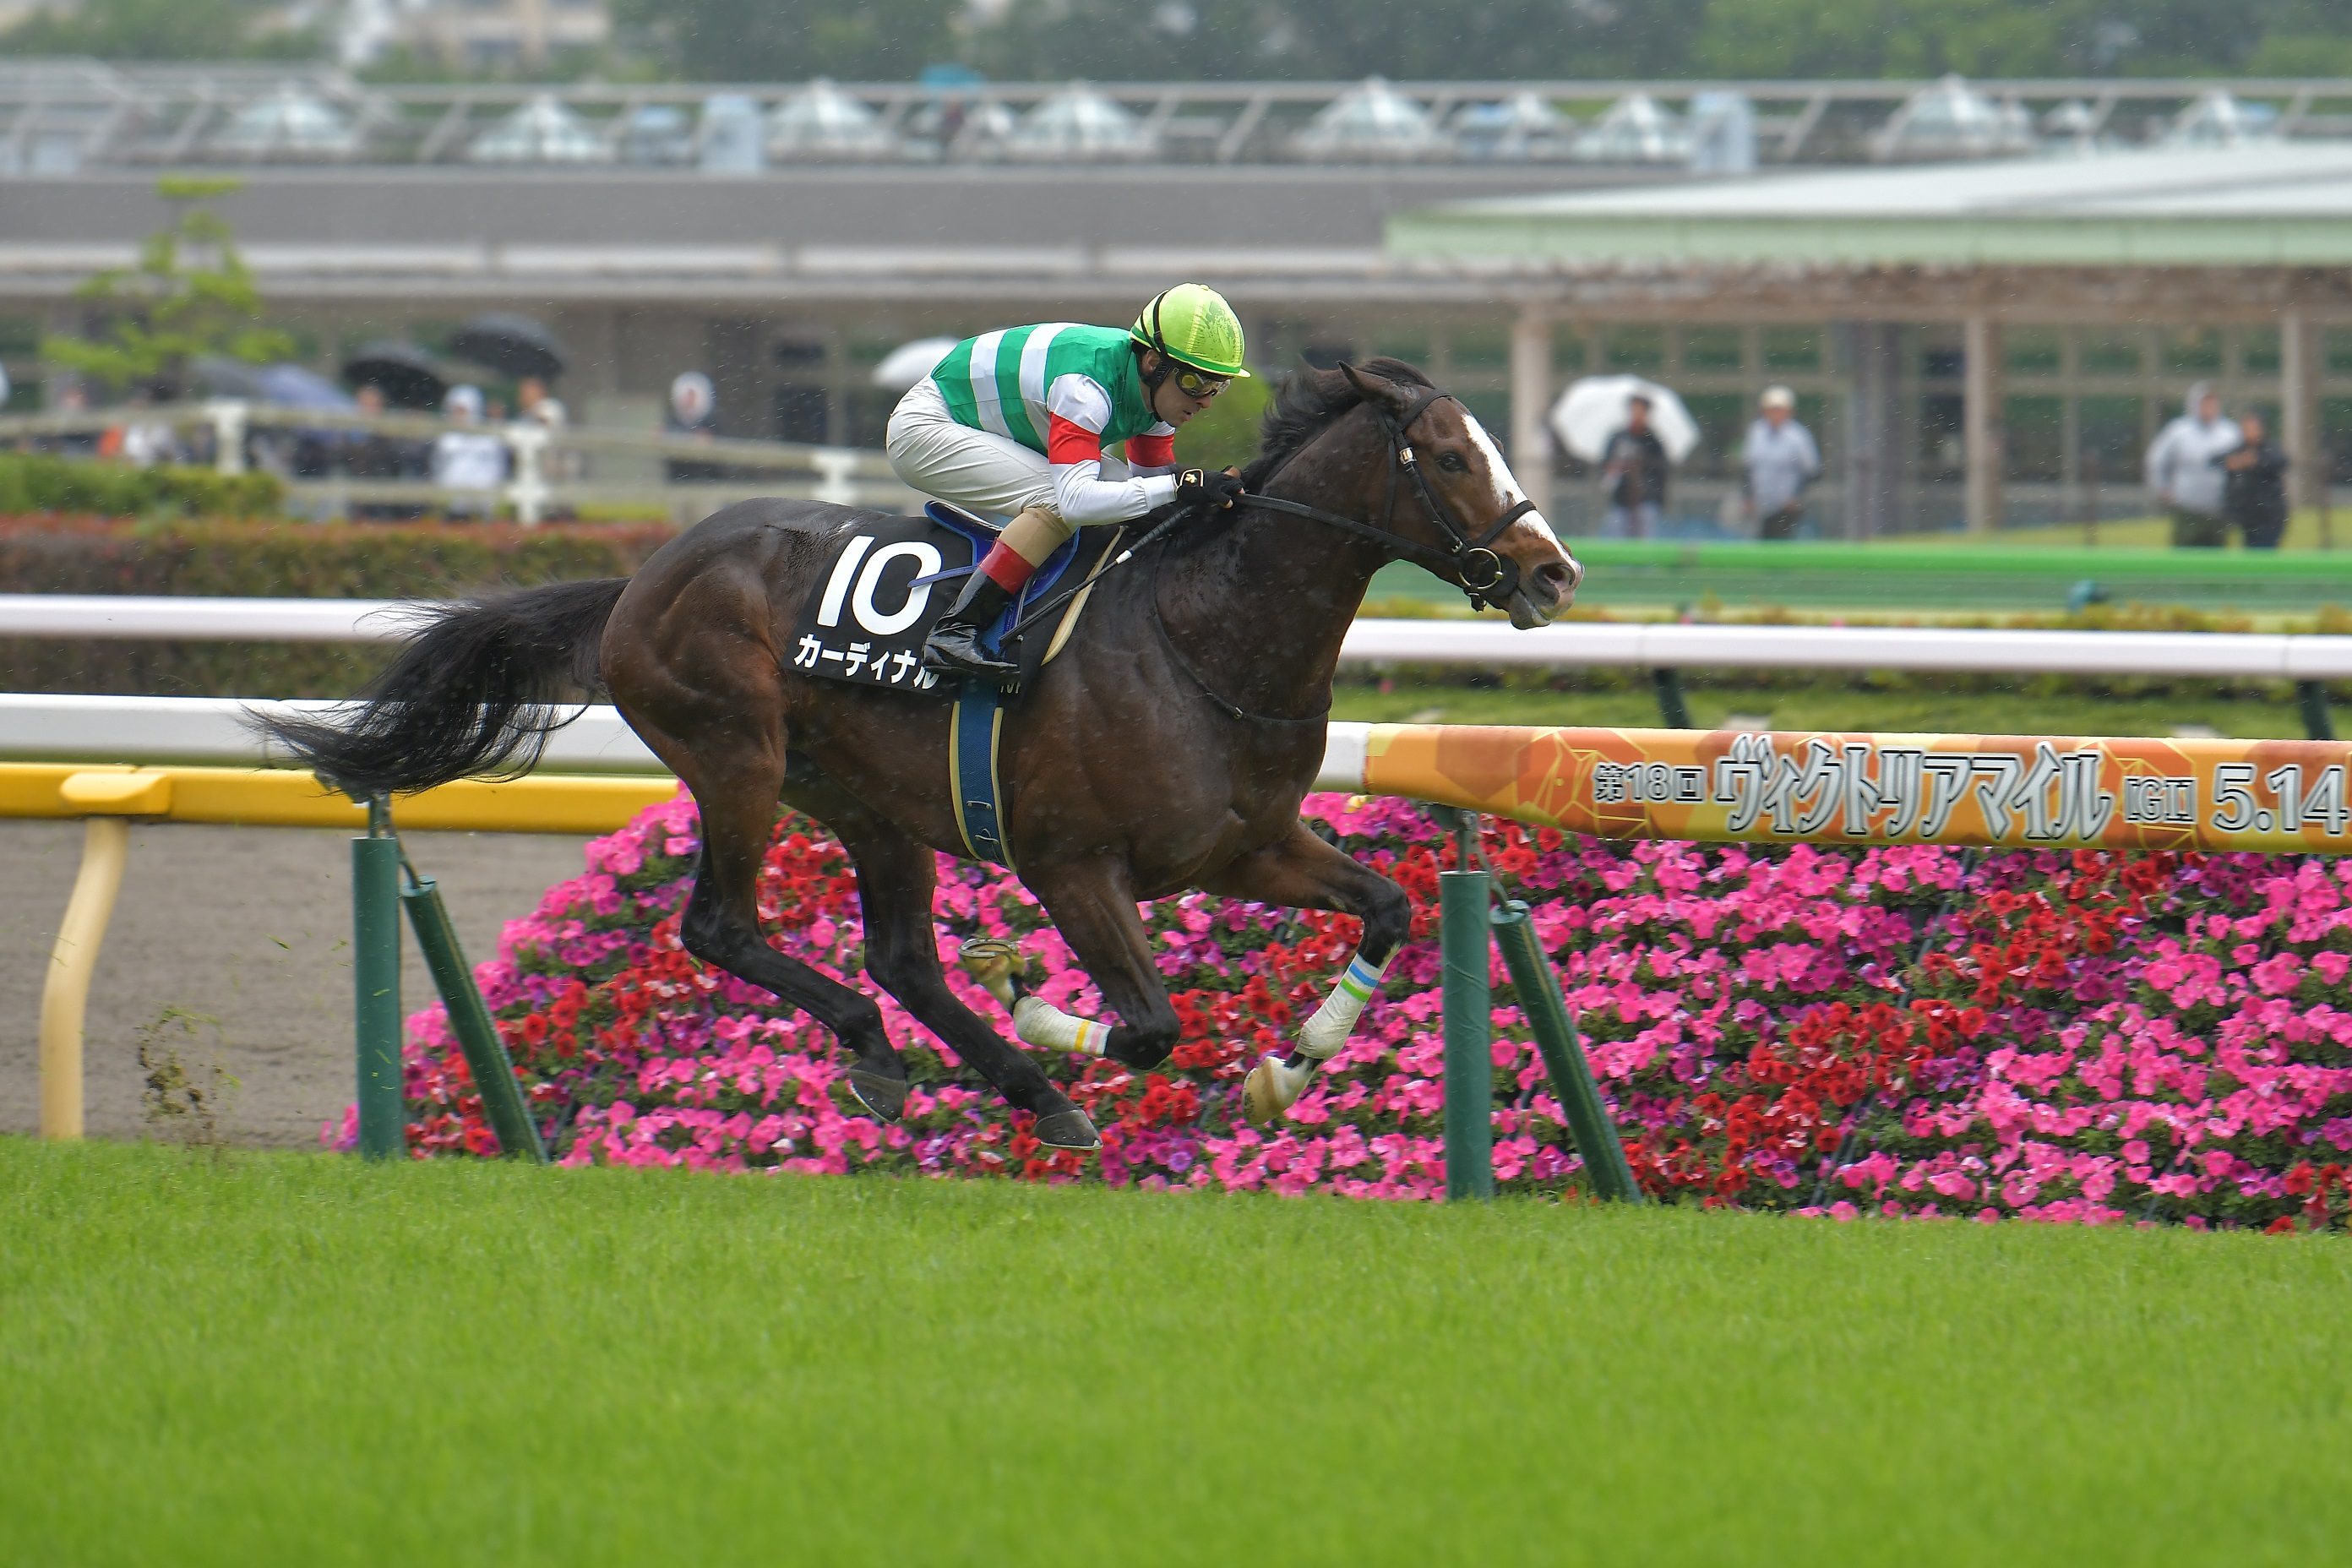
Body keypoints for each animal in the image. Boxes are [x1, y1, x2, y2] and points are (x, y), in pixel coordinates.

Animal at [263, 359, 1580, 1153]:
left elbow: (1388, 908)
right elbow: (1149, 1024)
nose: (1555, 572)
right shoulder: (1072, 862)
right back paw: (916, 1056)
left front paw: (1286, 1069)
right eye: (1452, 458)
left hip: (868, 802)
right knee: (724, 926)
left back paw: (1012, 1086)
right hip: (738, 756)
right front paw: (1039, 996)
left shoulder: (1244, 845)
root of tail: (641, 577)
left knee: (898, 955)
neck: (1201, 635)